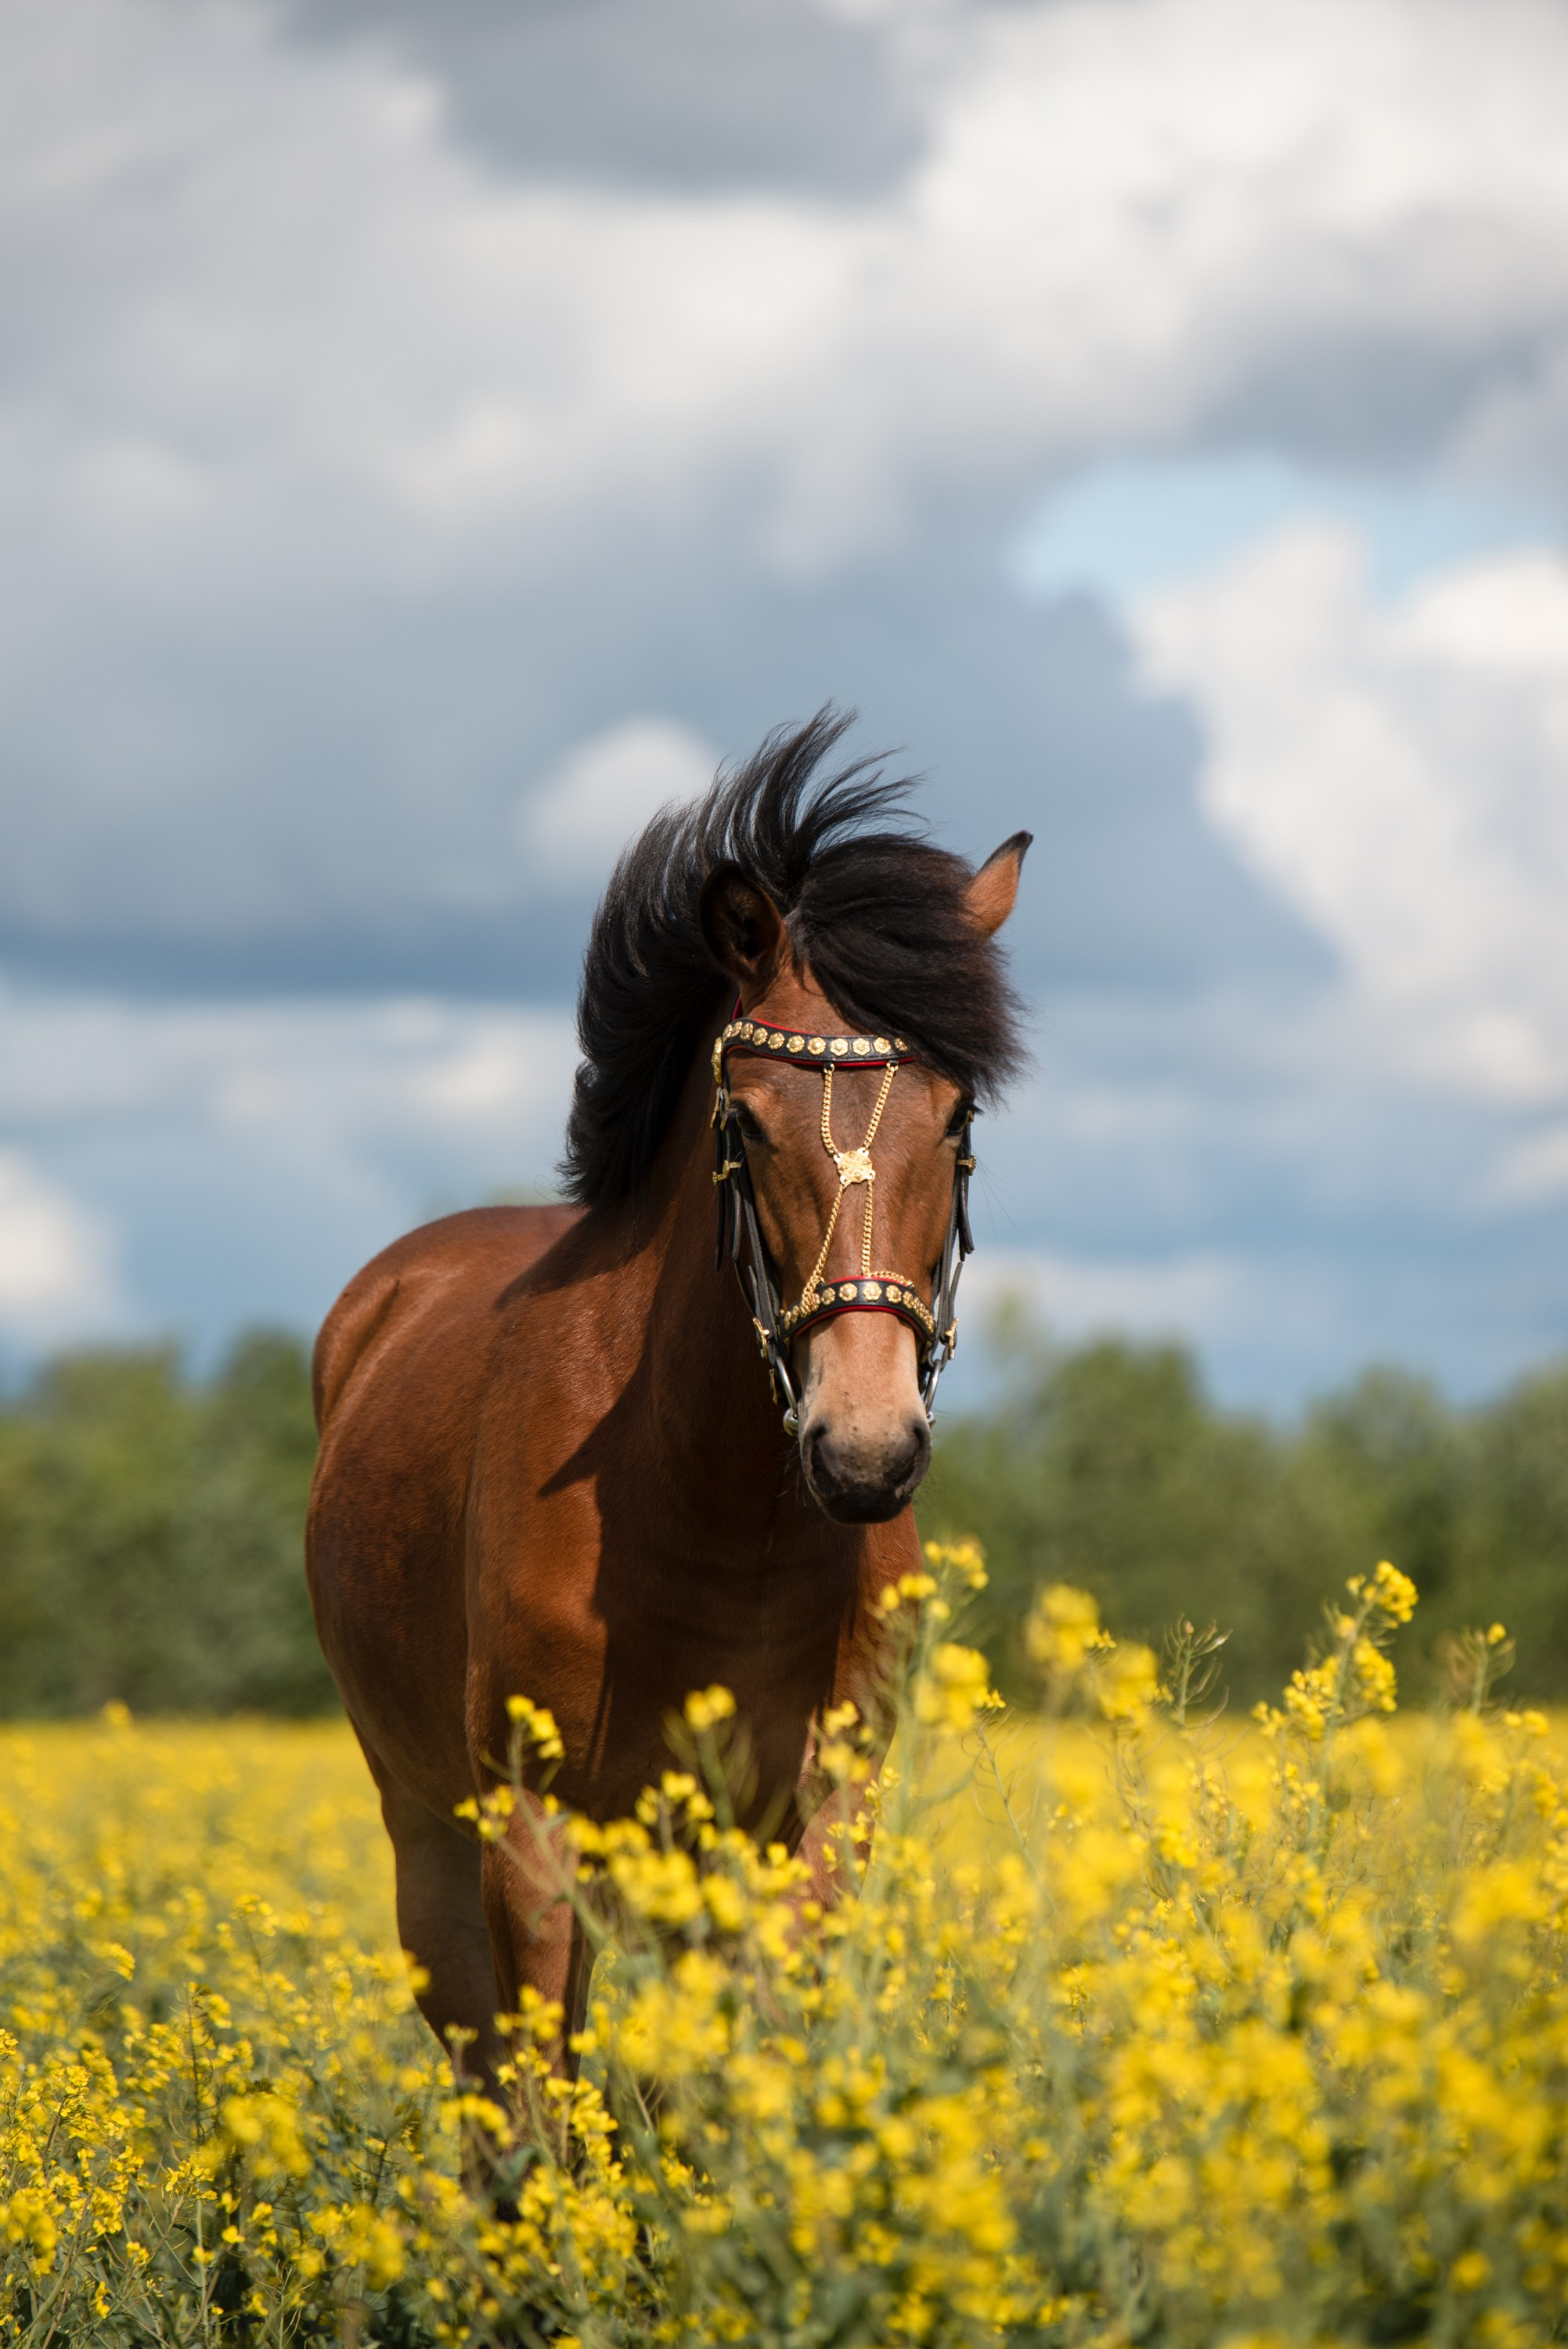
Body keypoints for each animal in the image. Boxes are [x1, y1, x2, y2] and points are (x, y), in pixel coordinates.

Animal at [305, 712, 1028, 2086]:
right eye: (743, 1122)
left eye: (959, 1114)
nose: (863, 1452)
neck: (720, 1516)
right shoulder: (533, 1832)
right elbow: (546, 2099)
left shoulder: (811, 1820)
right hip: (425, 1831)